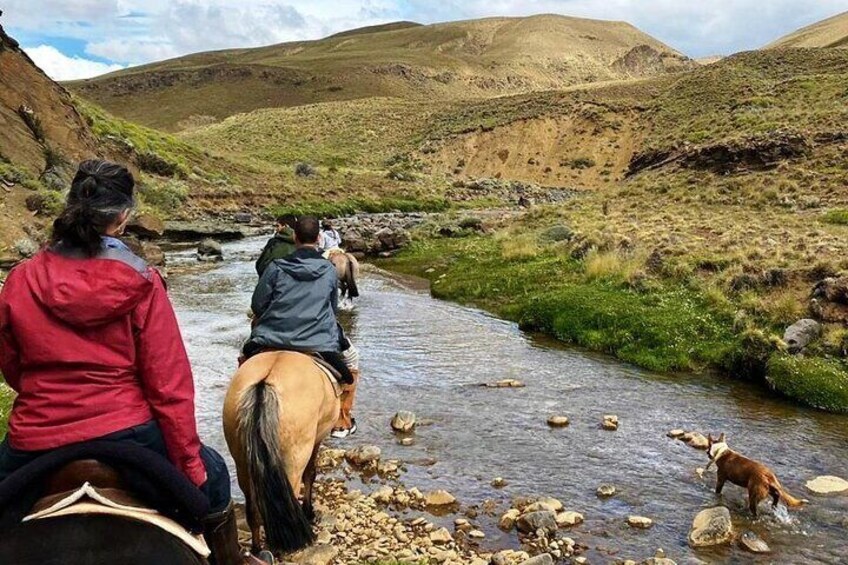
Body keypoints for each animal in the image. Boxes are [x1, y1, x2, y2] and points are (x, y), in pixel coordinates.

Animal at [225, 350, 344, 552]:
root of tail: (264, 383)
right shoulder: (316, 440)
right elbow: (310, 474)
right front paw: (309, 512)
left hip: (242, 463)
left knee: (253, 510)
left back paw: (257, 549)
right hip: (294, 462)